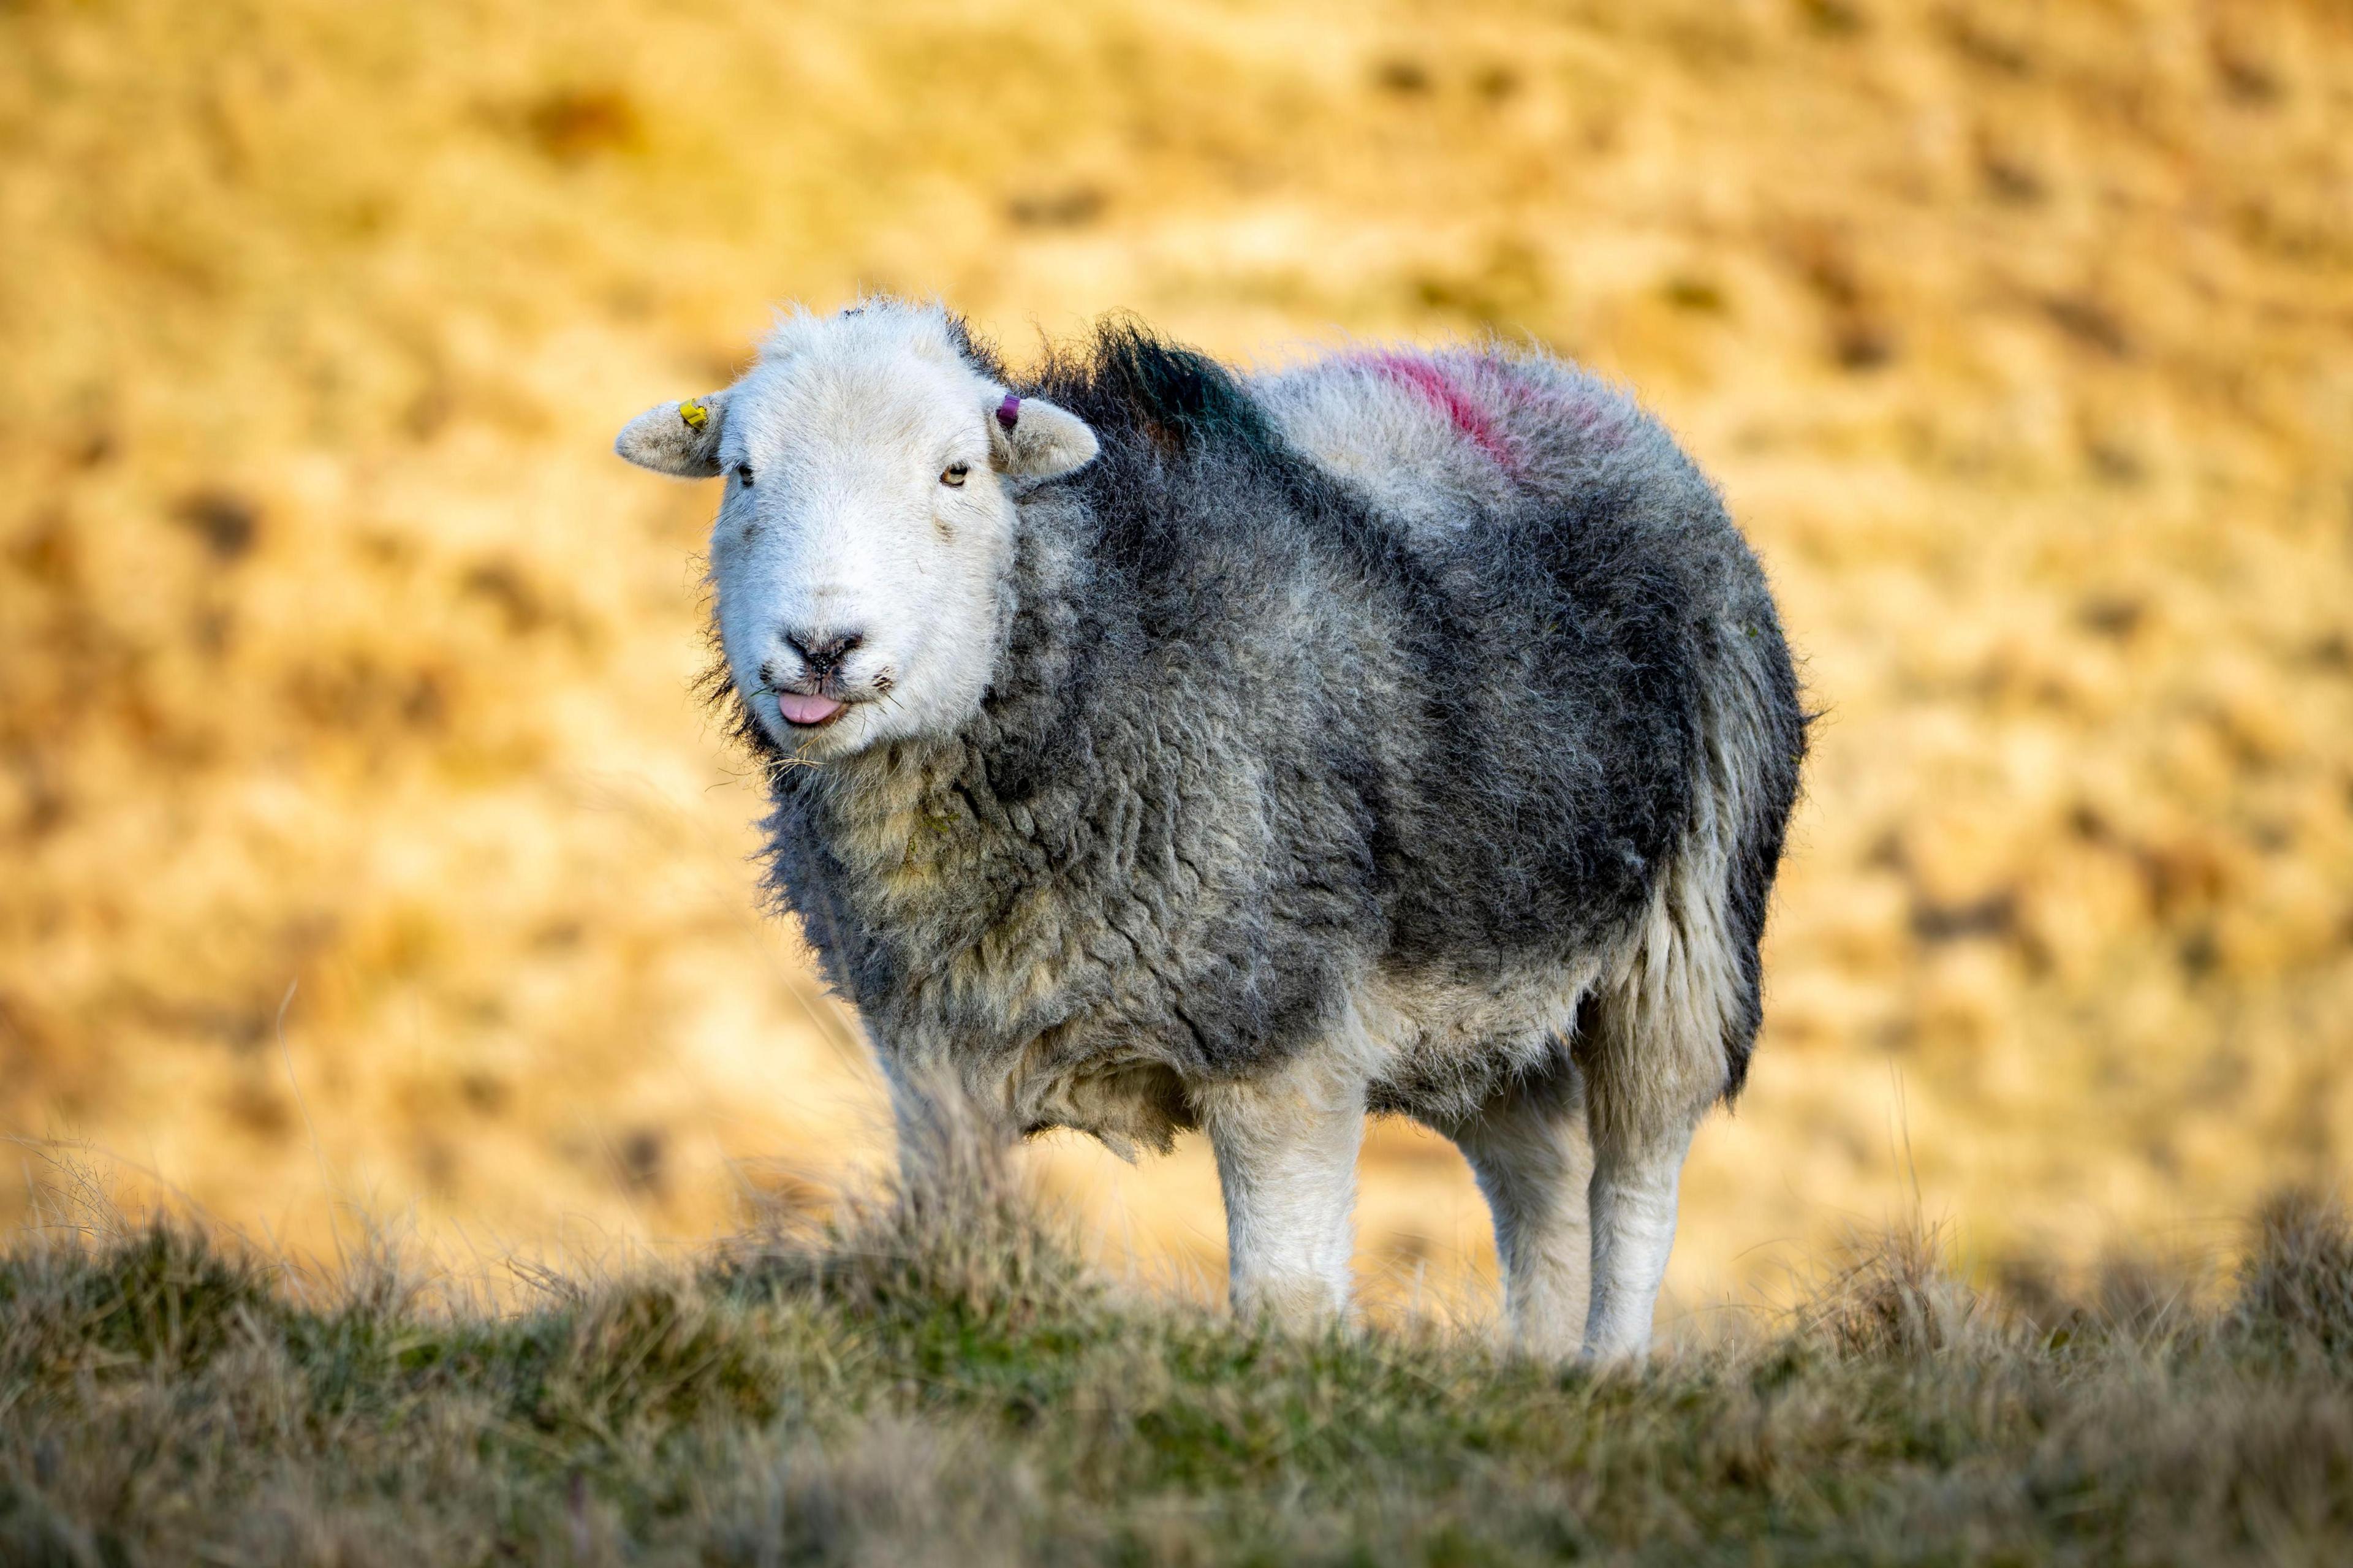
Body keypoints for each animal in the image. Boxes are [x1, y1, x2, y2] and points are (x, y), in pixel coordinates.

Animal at [621, 298, 1797, 1346]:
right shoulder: (934, 1056)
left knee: (1638, 1180)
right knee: (1538, 1173)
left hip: (1686, 932)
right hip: (1489, 973)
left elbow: (1288, 1299)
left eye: (957, 471)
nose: (821, 648)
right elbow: (954, 1242)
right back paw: (1537, 1365)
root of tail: (1546, 372)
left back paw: (1608, 1365)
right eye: (743, 472)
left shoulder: (1283, 1042)